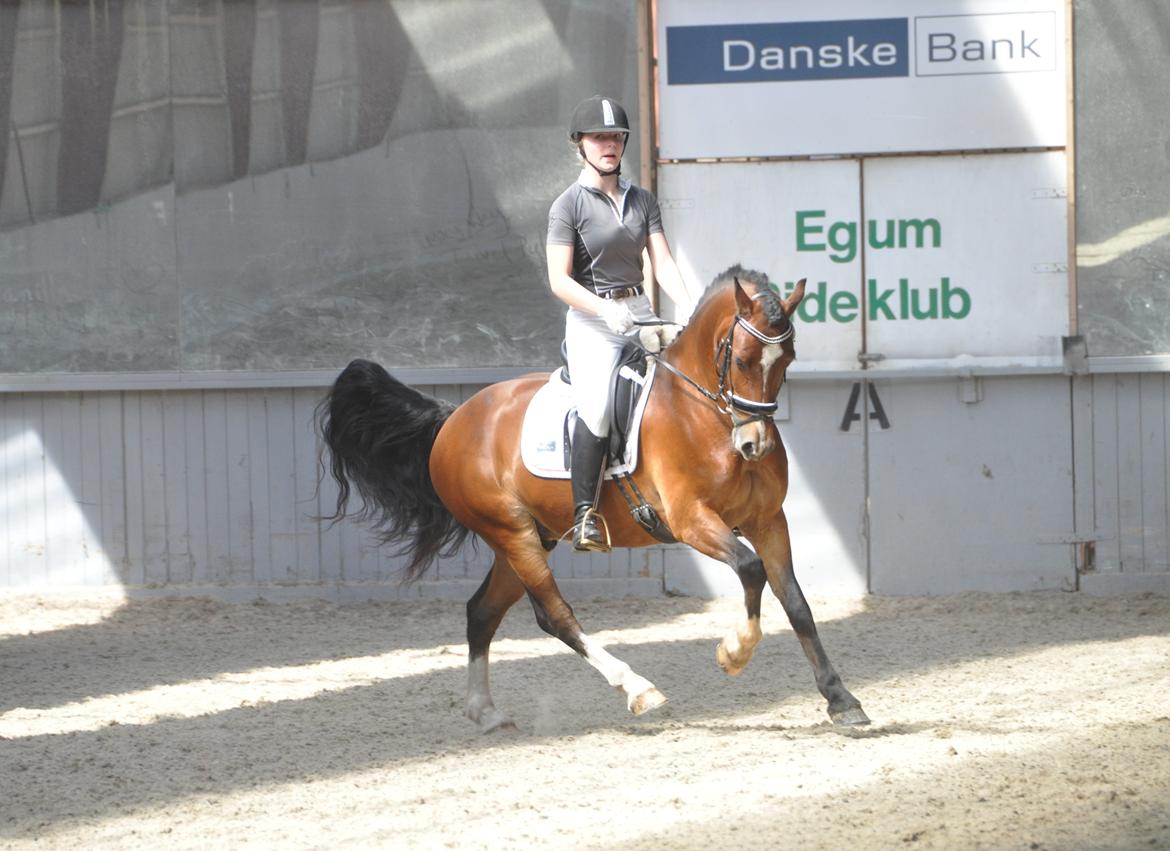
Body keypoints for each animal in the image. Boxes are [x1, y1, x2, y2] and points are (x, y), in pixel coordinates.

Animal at [320, 266, 870, 730]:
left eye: (788, 360)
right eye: (739, 359)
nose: (755, 444)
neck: (703, 413)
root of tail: (455, 417)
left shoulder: (769, 520)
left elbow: (796, 603)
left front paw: (842, 700)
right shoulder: (692, 520)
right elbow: (751, 571)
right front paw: (734, 652)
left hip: (526, 538)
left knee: (482, 611)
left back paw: (486, 712)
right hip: (511, 532)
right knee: (555, 616)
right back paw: (637, 688)